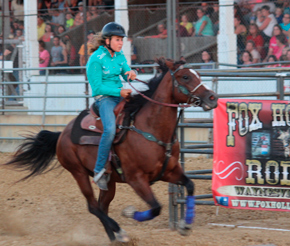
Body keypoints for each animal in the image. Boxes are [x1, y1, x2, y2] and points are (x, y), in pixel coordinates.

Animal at [5, 58, 218, 243]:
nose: (212, 98)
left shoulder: (170, 172)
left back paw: (114, 238)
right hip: (78, 173)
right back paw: (120, 233)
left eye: (198, 74)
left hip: (109, 182)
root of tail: (62, 133)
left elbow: (190, 185)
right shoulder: (136, 179)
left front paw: (185, 226)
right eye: (185, 77)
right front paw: (129, 213)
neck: (151, 129)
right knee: (93, 206)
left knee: (102, 206)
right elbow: (156, 207)